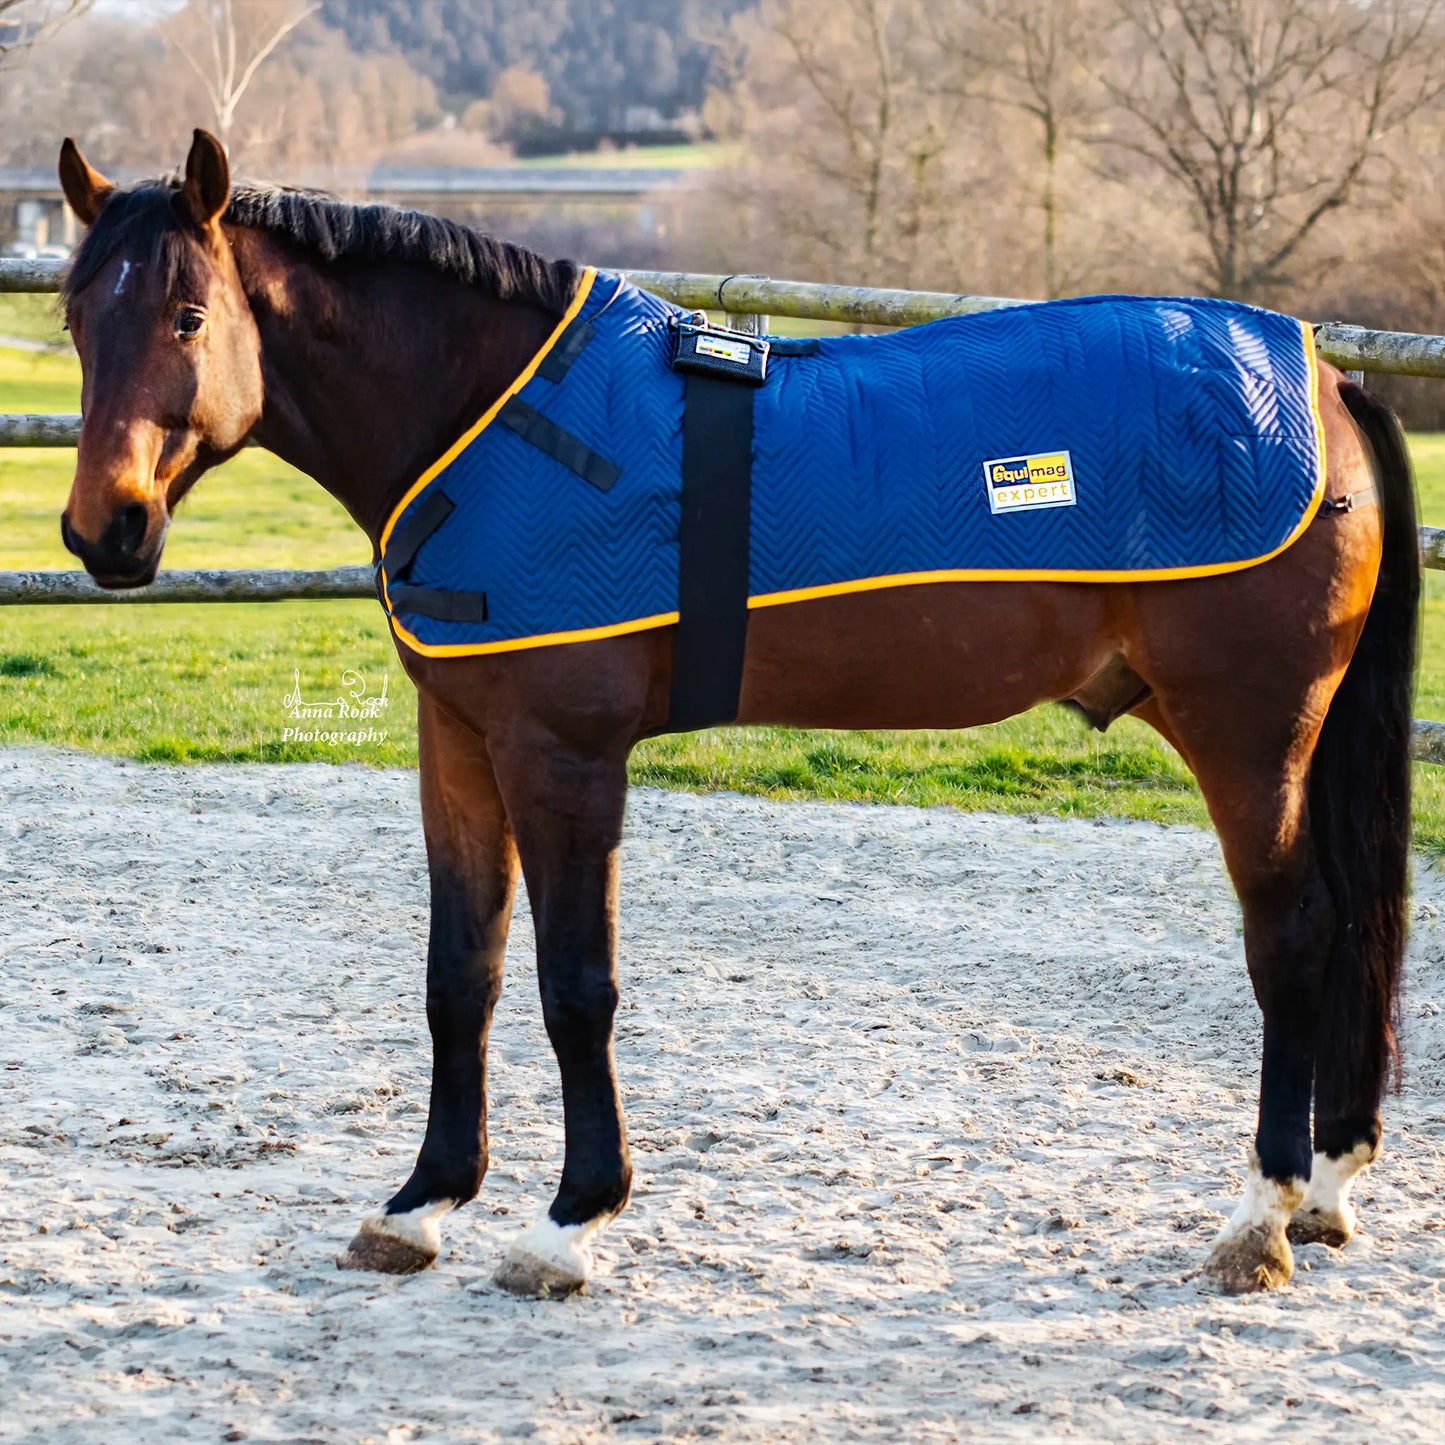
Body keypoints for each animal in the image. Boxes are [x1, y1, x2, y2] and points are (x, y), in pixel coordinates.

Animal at [52, 129, 1418, 1297]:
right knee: (1338, 925)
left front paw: (570, 1221)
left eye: (186, 313)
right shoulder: (459, 745)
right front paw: (420, 1203)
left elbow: (573, 983)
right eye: (72, 316)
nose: (104, 531)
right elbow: (461, 974)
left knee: (1293, 934)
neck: (487, 418)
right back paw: (1325, 1184)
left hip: (1245, 731)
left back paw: (1257, 1213)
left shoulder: (565, 757)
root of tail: (1323, 376)